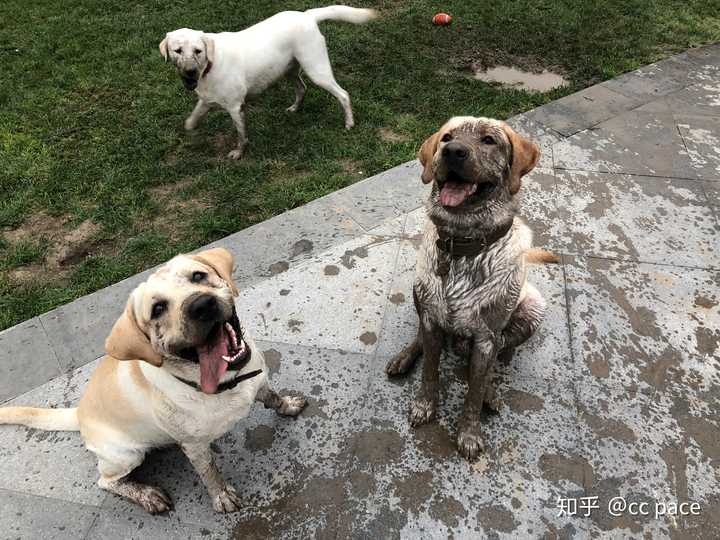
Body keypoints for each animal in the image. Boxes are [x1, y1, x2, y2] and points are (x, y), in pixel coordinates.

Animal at [0, 249, 306, 516]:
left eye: (198, 276)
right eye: (157, 309)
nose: (202, 305)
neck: (226, 383)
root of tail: (78, 414)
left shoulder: (259, 383)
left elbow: (273, 397)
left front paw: (288, 405)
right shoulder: (194, 446)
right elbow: (209, 471)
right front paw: (221, 496)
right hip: (126, 455)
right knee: (106, 482)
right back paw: (147, 495)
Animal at [161, 5, 380, 158]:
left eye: (198, 51)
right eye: (177, 51)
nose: (190, 72)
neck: (209, 65)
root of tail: (307, 15)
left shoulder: (235, 107)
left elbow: (241, 135)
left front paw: (238, 153)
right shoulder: (206, 100)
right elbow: (193, 118)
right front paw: (190, 127)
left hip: (317, 70)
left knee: (343, 94)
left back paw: (349, 123)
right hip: (289, 71)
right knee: (302, 88)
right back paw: (295, 108)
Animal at [386, 117, 556, 460]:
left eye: (489, 140)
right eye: (446, 137)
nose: (452, 151)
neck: (461, 244)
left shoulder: (486, 338)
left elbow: (474, 392)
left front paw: (469, 432)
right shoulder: (431, 319)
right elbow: (430, 370)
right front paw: (425, 405)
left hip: (532, 309)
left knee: (500, 353)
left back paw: (490, 389)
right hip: (418, 292)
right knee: (421, 337)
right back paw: (404, 357)